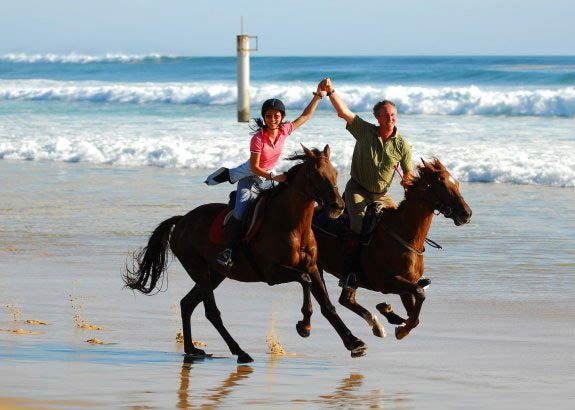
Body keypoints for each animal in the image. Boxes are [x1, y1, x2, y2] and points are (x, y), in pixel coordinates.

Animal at [126, 146, 368, 364]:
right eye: (317, 175)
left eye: (335, 172)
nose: (338, 206)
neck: (293, 225)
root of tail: (182, 220)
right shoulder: (272, 272)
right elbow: (305, 281)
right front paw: (304, 325)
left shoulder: (312, 266)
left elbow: (327, 304)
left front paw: (353, 342)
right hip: (199, 269)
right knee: (211, 311)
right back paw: (240, 352)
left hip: (215, 274)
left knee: (187, 303)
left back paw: (192, 349)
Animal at [316, 159, 472, 342]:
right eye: (442, 184)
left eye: (457, 183)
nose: (466, 213)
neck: (404, 234)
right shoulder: (386, 282)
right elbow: (419, 293)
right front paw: (400, 328)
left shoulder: (406, 285)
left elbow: (415, 314)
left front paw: (392, 315)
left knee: (346, 300)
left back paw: (378, 326)